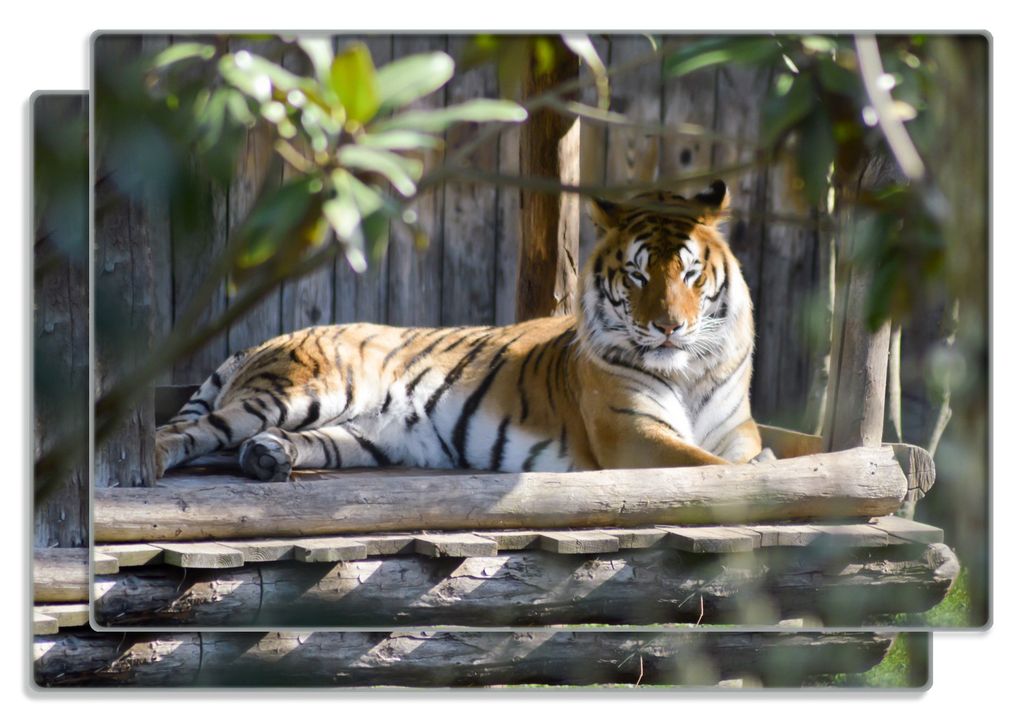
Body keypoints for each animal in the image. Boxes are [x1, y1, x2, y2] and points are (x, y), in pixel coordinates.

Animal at [155, 180, 762, 481]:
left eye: (690, 273)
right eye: (637, 275)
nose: (668, 327)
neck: (689, 371)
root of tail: (263, 342)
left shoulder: (739, 431)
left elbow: (753, 460)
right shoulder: (631, 434)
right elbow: (716, 471)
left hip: (363, 437)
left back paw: (267, 457)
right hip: (303, 391)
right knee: (187, 432)